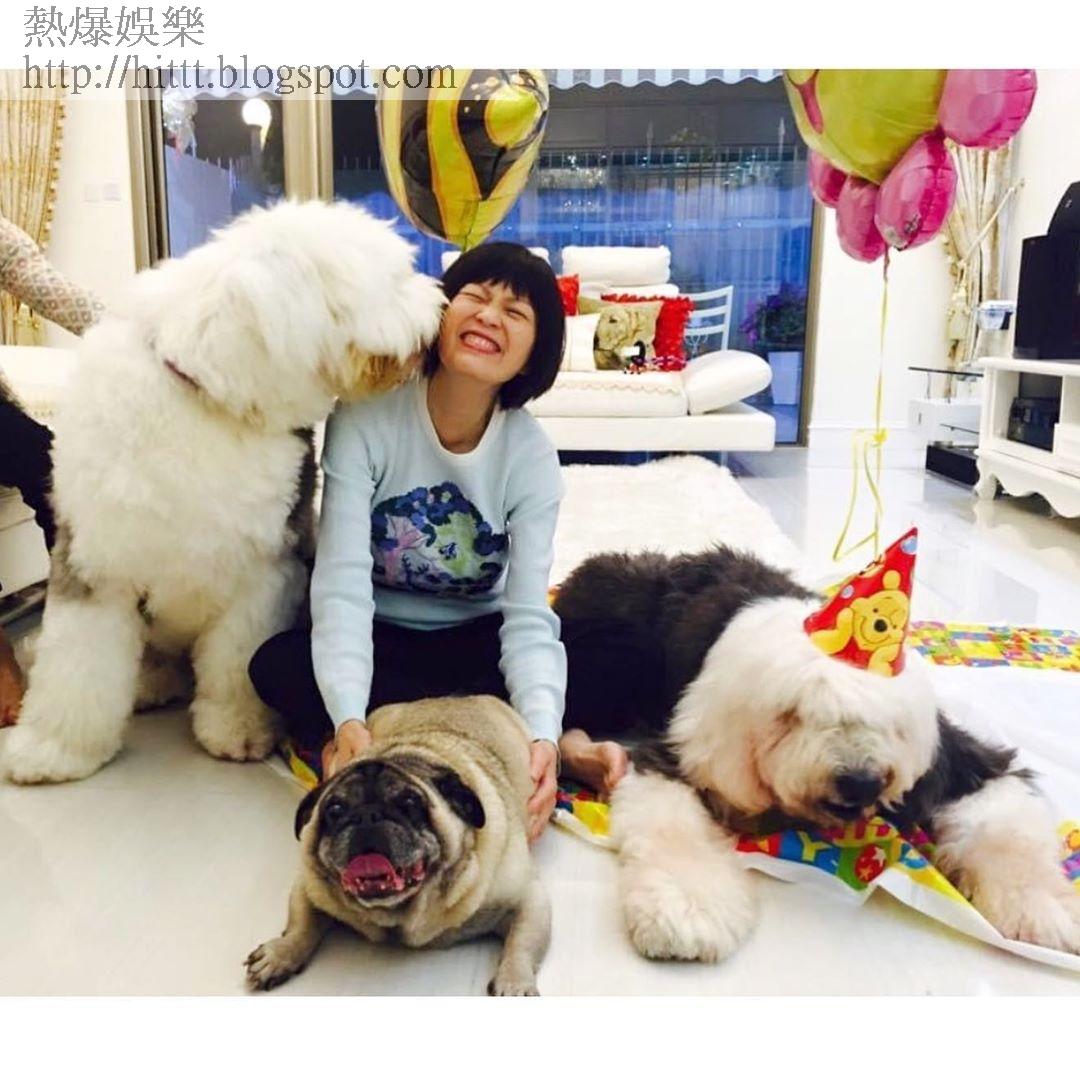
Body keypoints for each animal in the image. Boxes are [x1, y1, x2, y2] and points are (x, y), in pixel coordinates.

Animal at [2, 200, 444, 784]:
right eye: (394, 279)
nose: (440, 305)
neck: (210, 399)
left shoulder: (265, 570)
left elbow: (237, 662)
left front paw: (239, 733)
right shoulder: (95, 563)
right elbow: (78, 663)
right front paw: (52, 752)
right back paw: (148, 684)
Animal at [246, 695, 550, 995]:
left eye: (409, 803)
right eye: (334, 810)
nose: (367, 816)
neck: (399, 916)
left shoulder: (526, 898)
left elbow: (521, 944)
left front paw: (514, 983)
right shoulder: (311, 886)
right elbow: (301, 922)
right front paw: (281, 953)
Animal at [554, 545, 1080, 962]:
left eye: (887, 721)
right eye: (795, 714)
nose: (861, 781)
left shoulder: (956, 760)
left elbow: (1005, 829)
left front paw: (1046, 908)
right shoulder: (683, 748)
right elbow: (672, 825)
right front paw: (687, 910)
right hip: (606, 659)